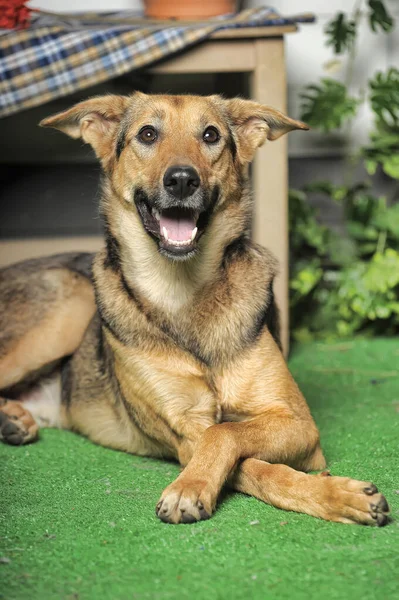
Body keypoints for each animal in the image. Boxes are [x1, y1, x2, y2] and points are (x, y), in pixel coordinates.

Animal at [0, 92, 390, 524]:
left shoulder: (297, 423)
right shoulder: (186, 431)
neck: (180, 293)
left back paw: (13, 420)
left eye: (210, 135)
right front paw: (190, 486)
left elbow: (228, 434)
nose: (182, 180)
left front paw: (342, 496)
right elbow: (243, 458)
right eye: (147, 134)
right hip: (70, 305)